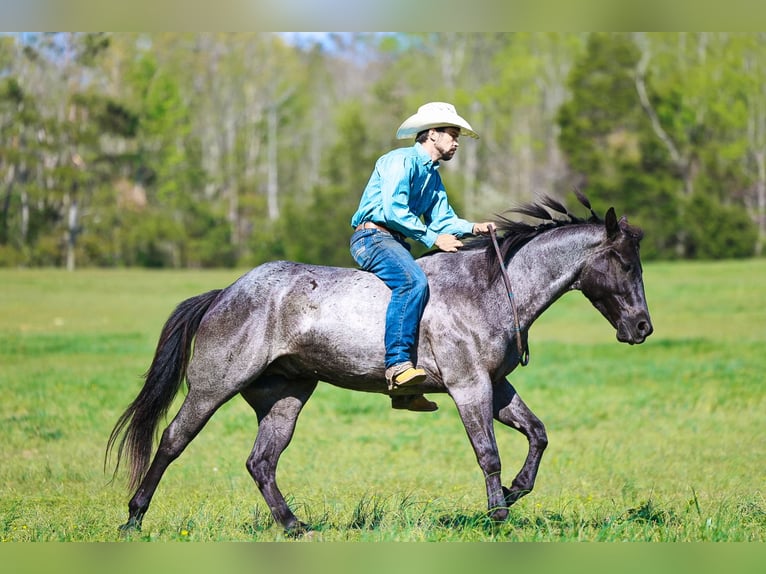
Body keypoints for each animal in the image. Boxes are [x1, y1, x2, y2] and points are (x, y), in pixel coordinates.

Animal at [106, 192, 653, 533]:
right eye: (626, 265)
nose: (643, 328)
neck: (492, 288)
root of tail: (225, 293)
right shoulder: (469, 387)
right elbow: (488, 453)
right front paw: (497, 514)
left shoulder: (495, 387)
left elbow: (537, 435)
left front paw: (515, 492)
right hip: (211, 388)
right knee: (172, 441)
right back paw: (133, 518)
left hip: (285, 397)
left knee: (261, 462)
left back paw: (295, 526)